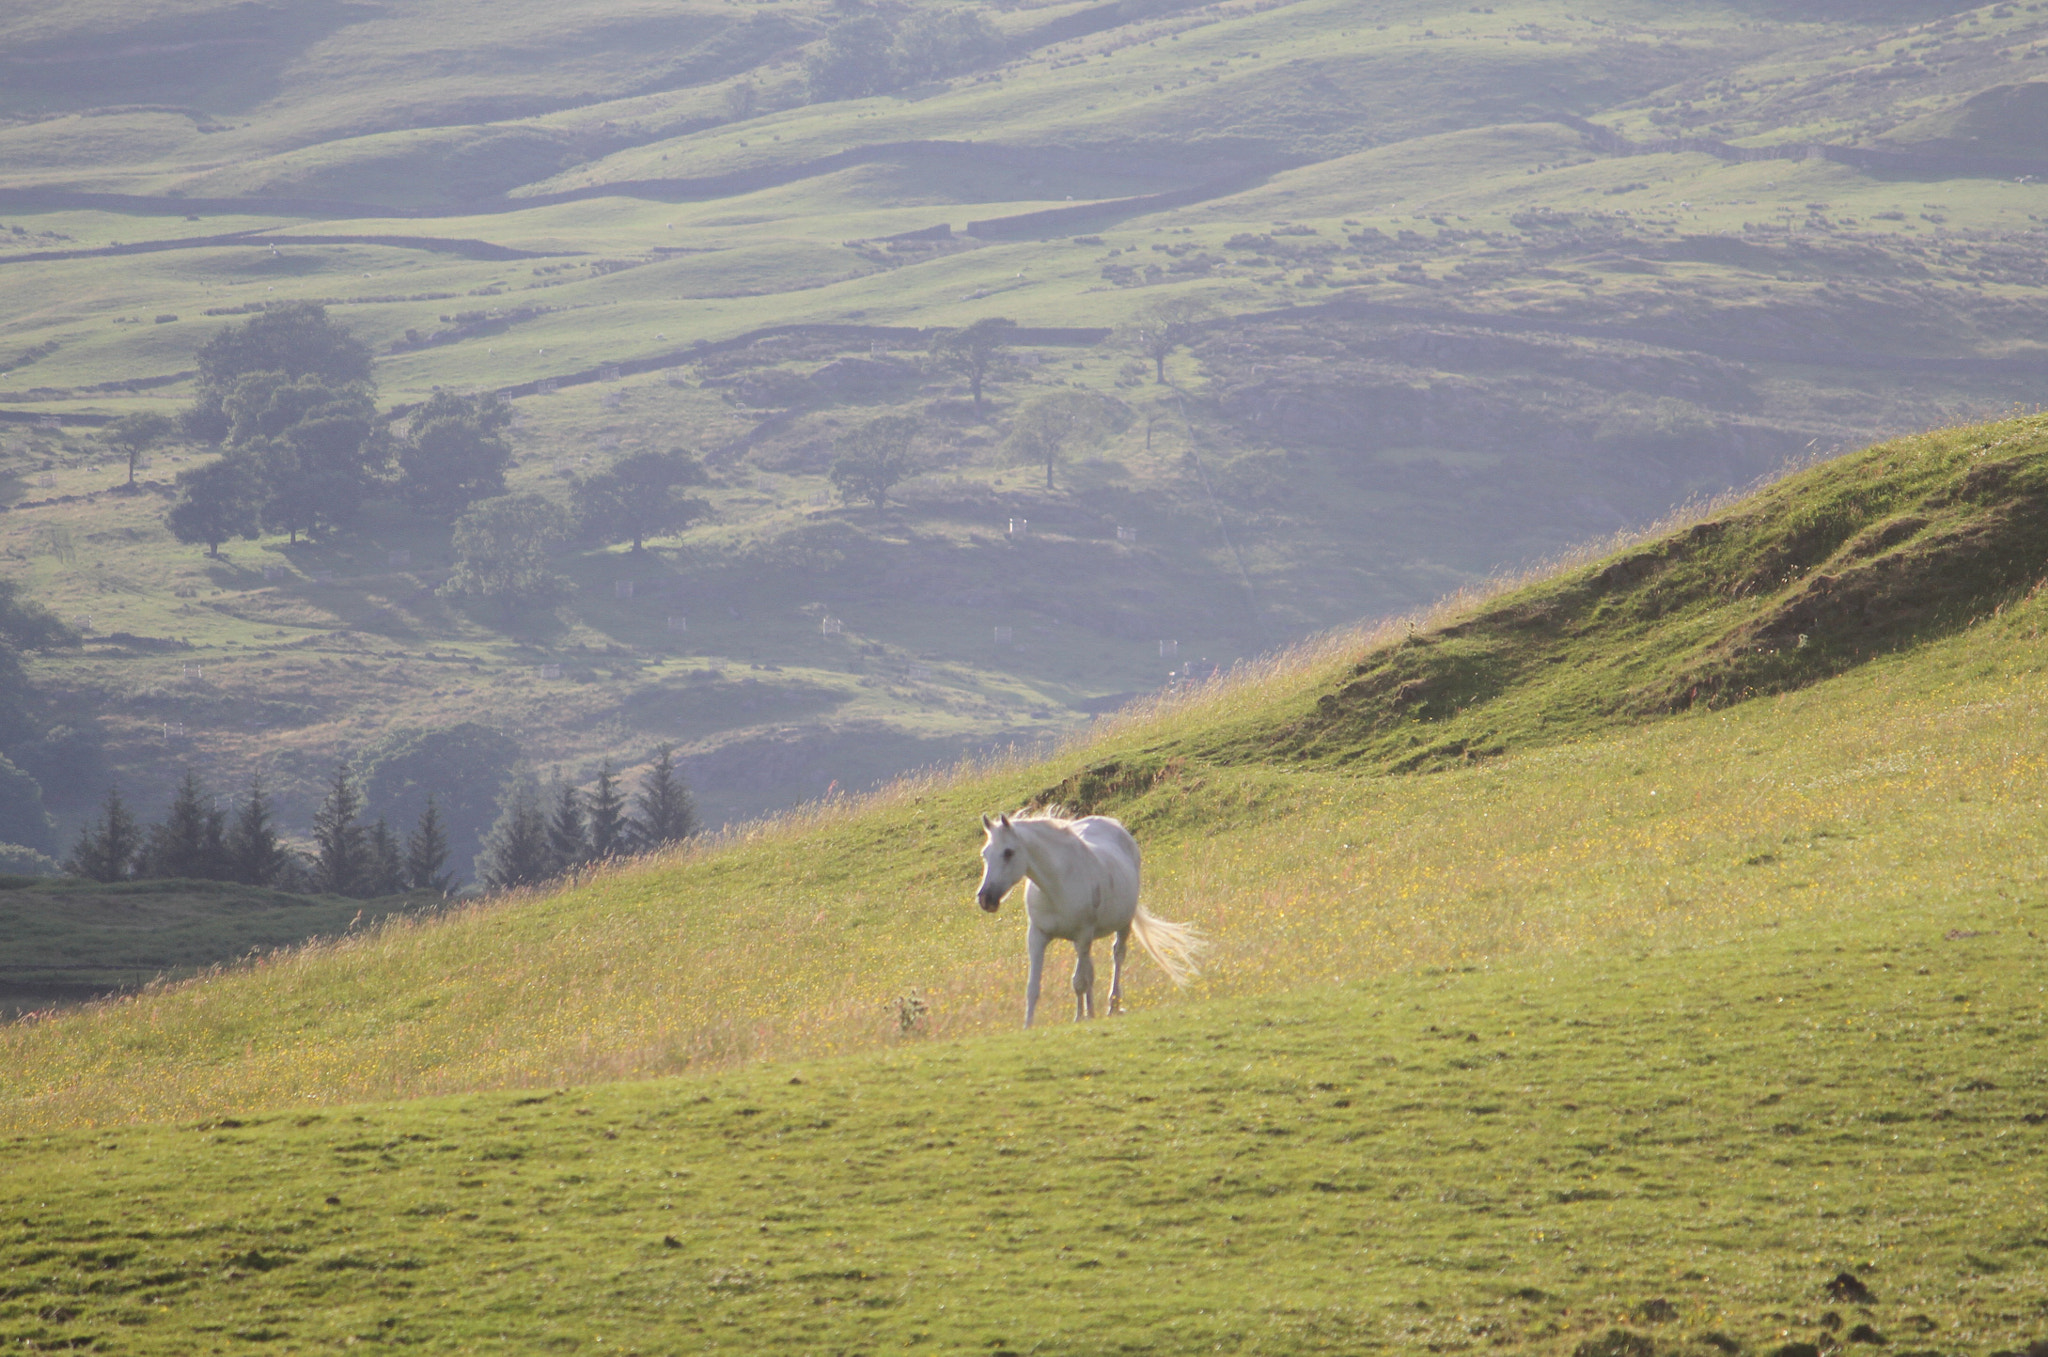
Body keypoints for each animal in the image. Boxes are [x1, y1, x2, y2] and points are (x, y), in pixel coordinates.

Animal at [970, 810, 1196, 1023]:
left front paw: (1079, 1018)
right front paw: (1029, 1026)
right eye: (985, 854)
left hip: (1122, 925)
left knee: (1117, 956)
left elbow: (1079, 982)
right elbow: (1033, 988)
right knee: (1090, 970)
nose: (985, 898)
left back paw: (1113, 1005)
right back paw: (1092, 1011)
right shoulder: (1037, 936)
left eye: (1008, 852)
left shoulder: (1083, 934)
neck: (1056, 885)